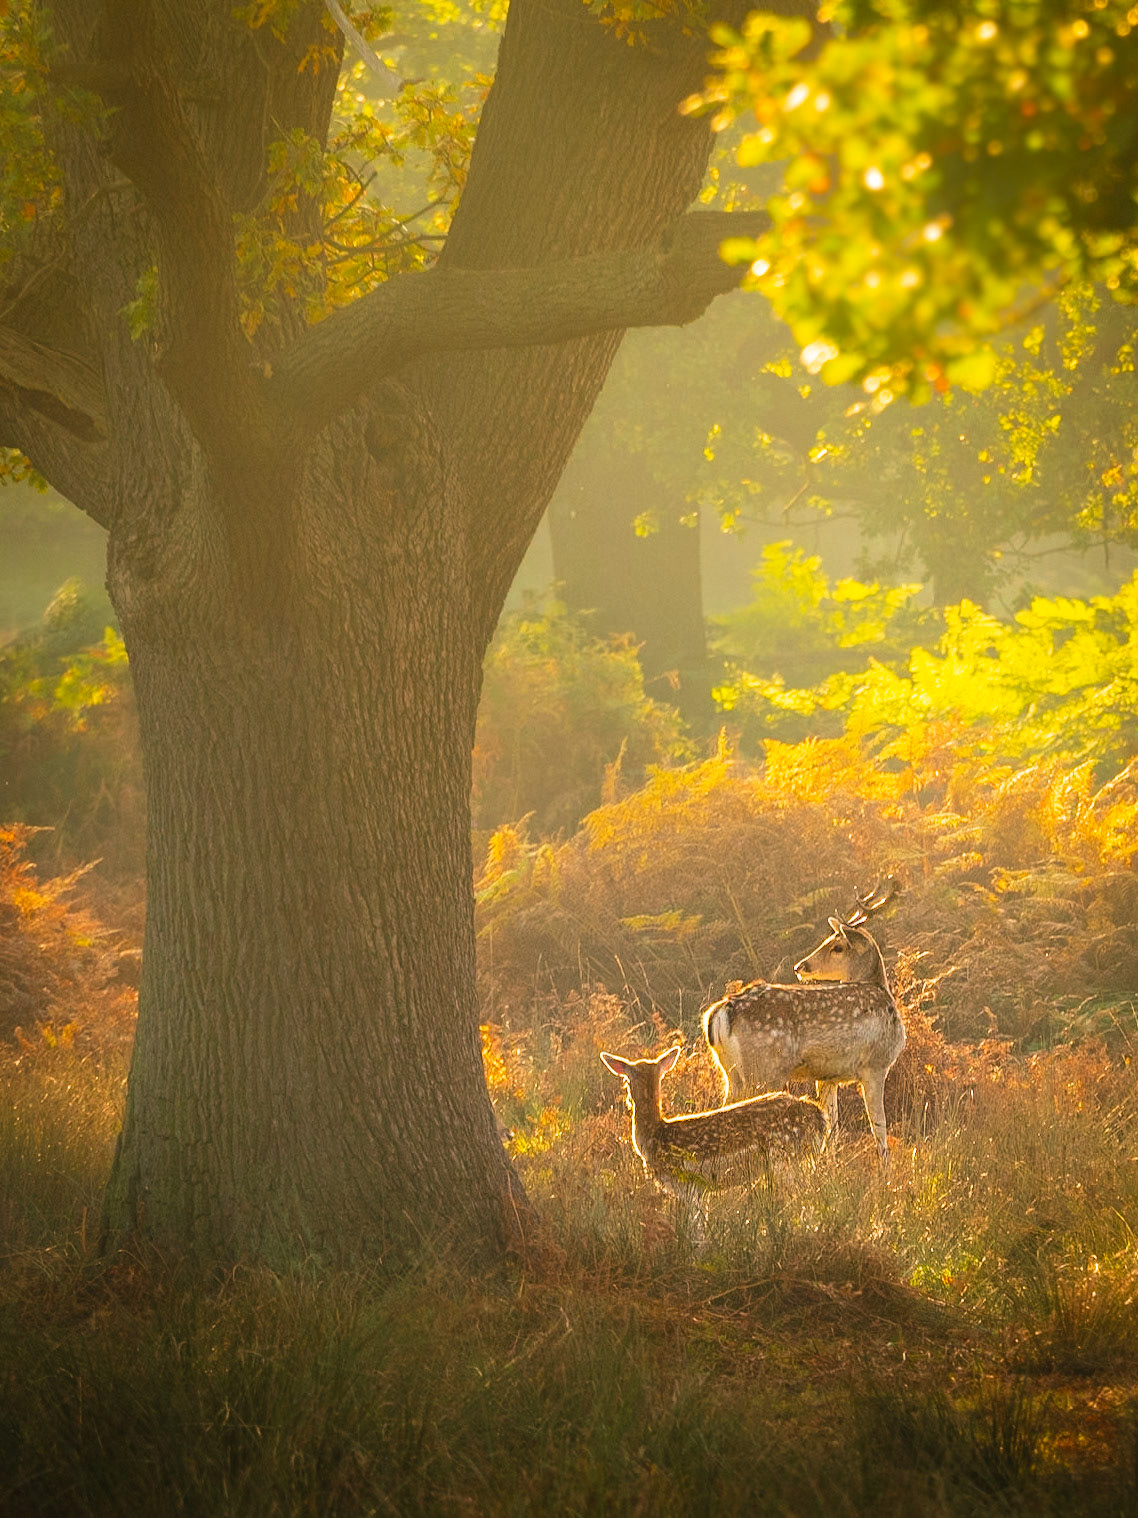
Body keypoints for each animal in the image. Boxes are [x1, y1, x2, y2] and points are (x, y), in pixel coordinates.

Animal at [599, 1047, 825, 1215]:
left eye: (626, 1080)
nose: (627, 1100)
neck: (656, 1137)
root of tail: (819, 1117)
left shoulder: (690, 1185)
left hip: (785, 1158)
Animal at [702, 878, 904, 1163]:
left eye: (837, 946)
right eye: (831, 942)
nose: (801, 966)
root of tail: (721, 1012)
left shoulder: (827, 1076)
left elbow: (832, 1124)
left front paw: (829, 1163)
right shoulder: (875, 1064)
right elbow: (879, 1127)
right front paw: (885, 1168)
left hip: (731, 1072)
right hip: (764, 1068)